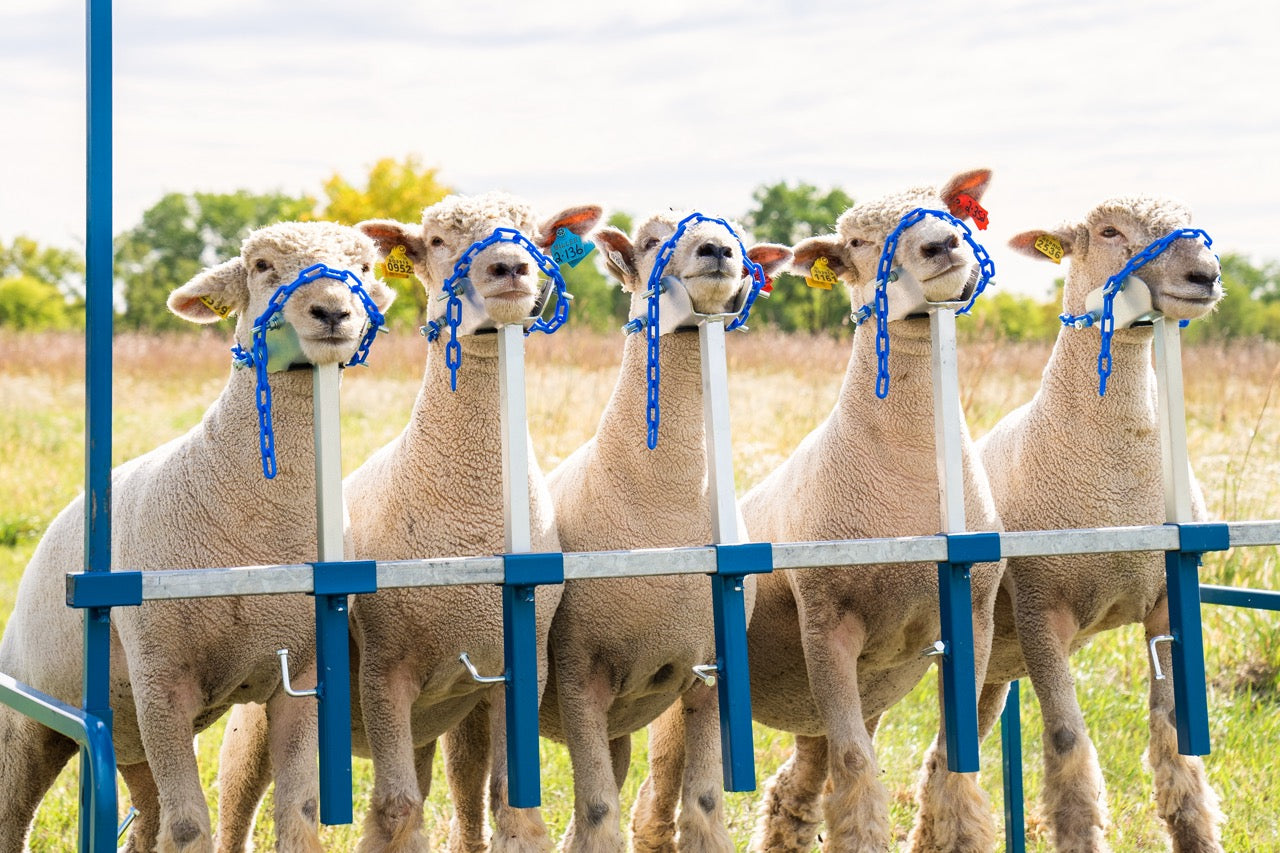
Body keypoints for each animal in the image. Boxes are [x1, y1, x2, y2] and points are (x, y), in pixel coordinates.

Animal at [0, 221, 395, 853]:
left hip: (127, 733)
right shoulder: (161, 679)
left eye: (361, 266)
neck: (256, 528)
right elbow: (189, 826)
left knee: (147, 816)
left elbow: (299, 811)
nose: (332, 311)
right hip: (35, 721)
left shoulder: (305, 678)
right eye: (261, 265)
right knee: (16, 813)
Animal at [216, 193, 601, 853]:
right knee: (236, 802)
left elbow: (511, 804)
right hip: (264, 712)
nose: (509, 267)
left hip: (442, 715)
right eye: (438, 241)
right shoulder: (384, 667)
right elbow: (396, 809)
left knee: (460, 787)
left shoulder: (516, 666)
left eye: (535, 236)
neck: (469, 511)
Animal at [538, 211, 790, 853]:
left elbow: (701, 802)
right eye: (652, 240)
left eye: (739, 238)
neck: (661, 502)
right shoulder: (578, 673)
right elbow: (600, 807)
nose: (717, 250)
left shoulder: (707, 676)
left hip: (624, 726)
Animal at [740, 170, 1005, 853]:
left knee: (796, 786)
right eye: (858, 241)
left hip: (825, 702)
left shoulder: (974, 616)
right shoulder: (827, 624)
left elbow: (952, 756)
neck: (908, 466)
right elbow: (858, 766)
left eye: (947, 211)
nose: (941, 245)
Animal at [963, 197, 1225, 851]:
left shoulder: (1166, 603)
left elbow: (1172, 740)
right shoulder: (1040, 610)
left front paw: (1195, 829)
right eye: (1109, 231)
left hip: (992, 672)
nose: (1205, 274)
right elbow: (1066, 742)